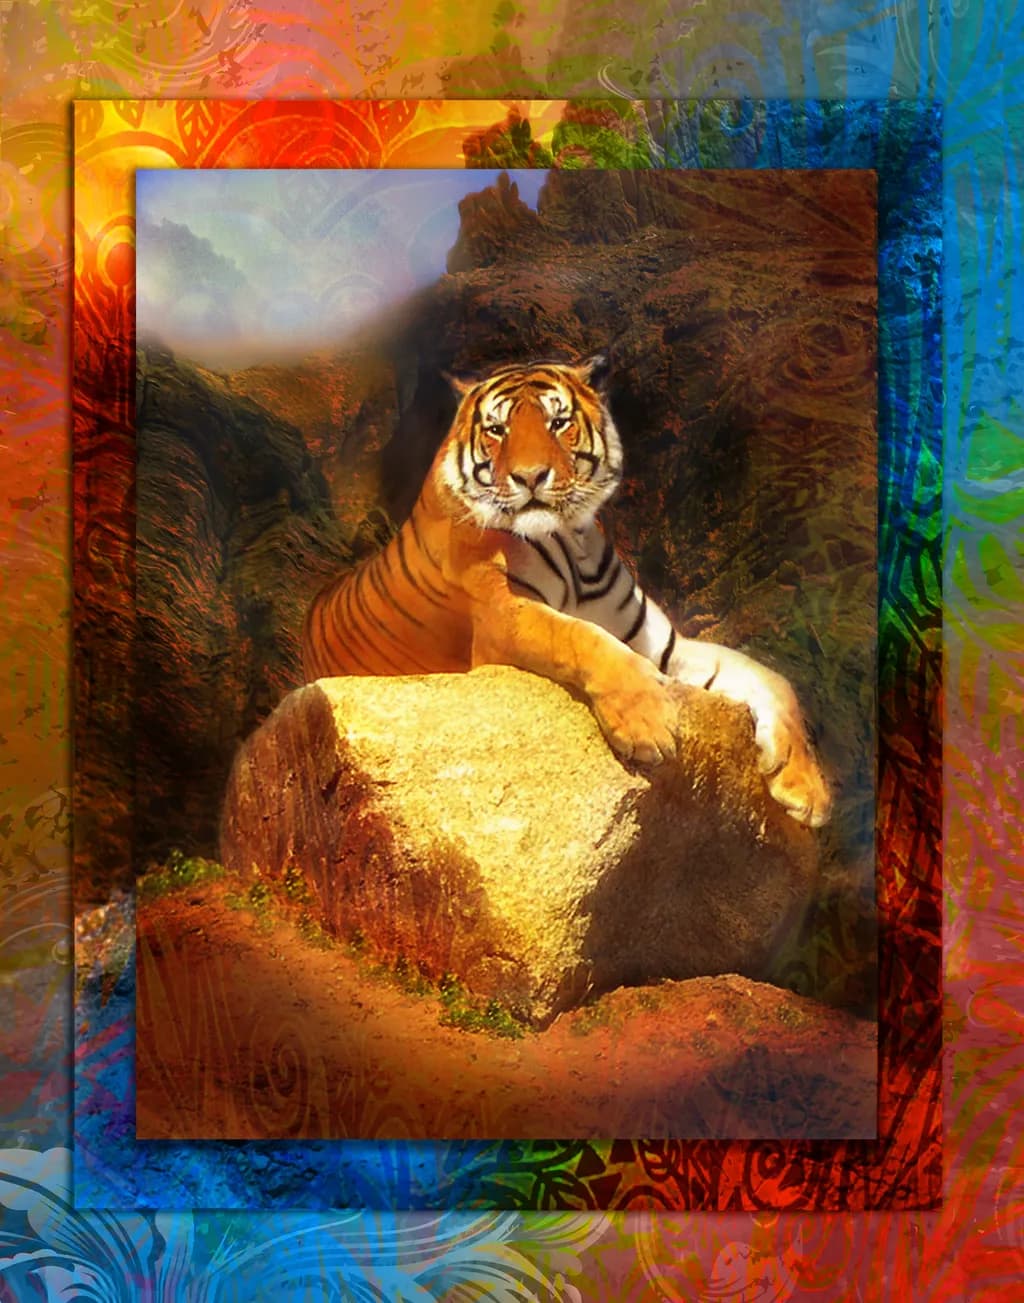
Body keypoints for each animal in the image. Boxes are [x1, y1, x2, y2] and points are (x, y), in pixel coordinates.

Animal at [302, 355, 831, 827]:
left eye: (558, 423)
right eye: (497, 430)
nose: (530, 476)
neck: (572, 544)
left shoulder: (664, 647)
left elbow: (772, 679)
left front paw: (807, 790)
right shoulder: (505, 616)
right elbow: (582, 637)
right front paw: (647, 726)